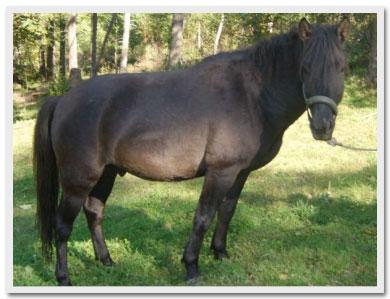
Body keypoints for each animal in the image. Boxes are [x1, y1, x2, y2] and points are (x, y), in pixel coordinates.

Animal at [33, 17, 350, 288]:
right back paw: (64, 277)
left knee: (94, 212)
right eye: (305, 67)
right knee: (62, 225)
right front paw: (191, 267)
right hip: (78, 180)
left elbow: (226, 212)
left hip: (106, 173)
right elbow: (203, 217)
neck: (252, 97)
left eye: (342, 67)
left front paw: (220, 253)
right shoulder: (220, 172)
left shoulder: (239, 173)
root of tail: (63, 100)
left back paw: (106, 261)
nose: (322, 127)